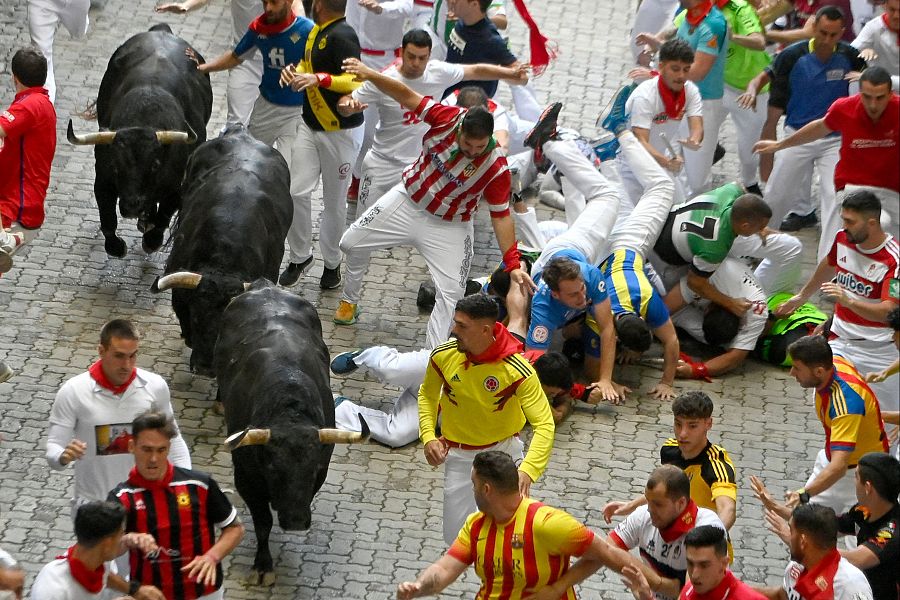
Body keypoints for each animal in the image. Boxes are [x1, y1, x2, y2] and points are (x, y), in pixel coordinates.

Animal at [67, 25, 213, 258]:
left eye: (155, 165)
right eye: (116, 165)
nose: (132, 206)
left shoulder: (176, 187)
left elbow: (162, 219)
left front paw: (151, 240)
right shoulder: (103, 179)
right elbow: (108, 220)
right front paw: (117, 246)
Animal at [216, 282, 368, 584]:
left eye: (313, 470)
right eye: (273, 469)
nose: (297, 521)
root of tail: (264, 286)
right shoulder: (246, 477)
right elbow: (263, 522)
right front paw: (263, 566)